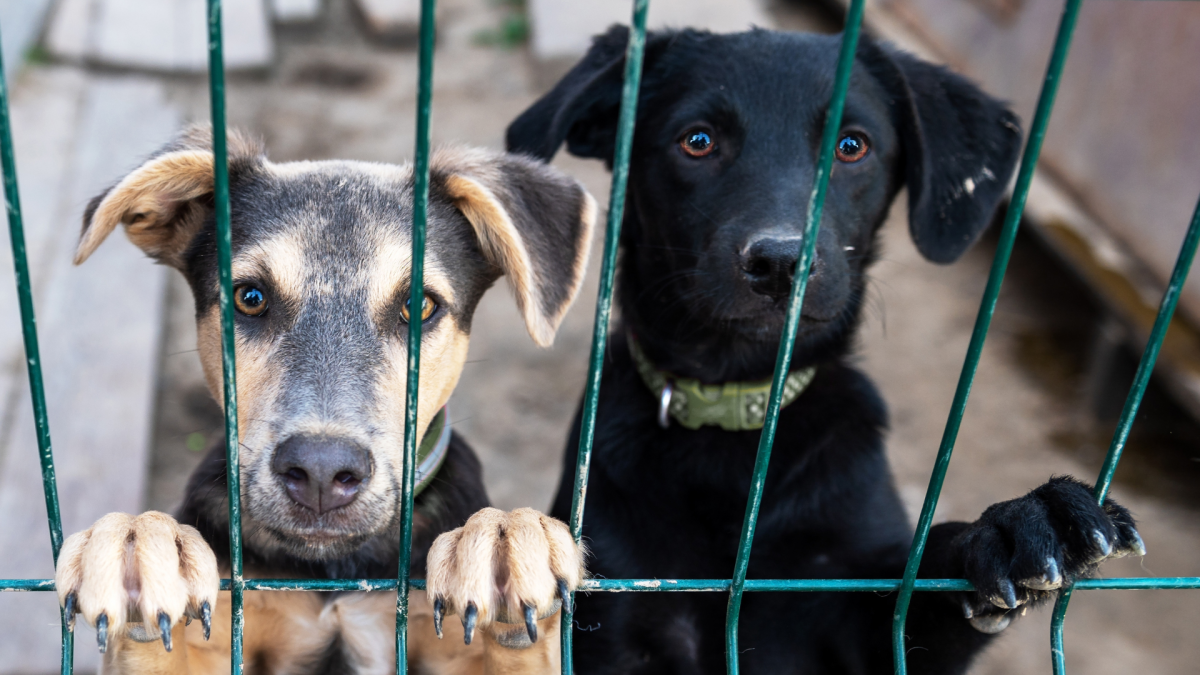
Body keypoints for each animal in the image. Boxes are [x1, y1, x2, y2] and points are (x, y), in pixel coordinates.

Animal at [56, 127, 595, 672]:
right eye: (249, 297)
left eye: (418, 305)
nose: (320, 472)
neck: (332, 567)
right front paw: (137, 547)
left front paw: (507, 542)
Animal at [506, 26, 1142, 672]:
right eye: (697, 141)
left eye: (852, 146)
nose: (781, 263)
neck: (740, 425)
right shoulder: (615, 617)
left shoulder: (869, 622)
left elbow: (918, 584)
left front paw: (1017, 526)